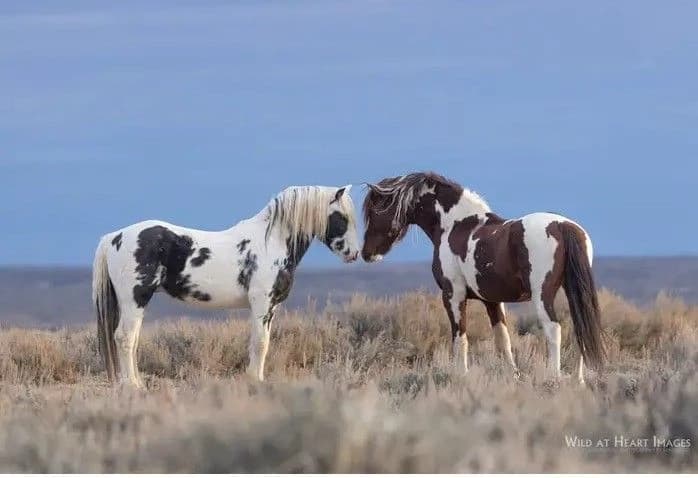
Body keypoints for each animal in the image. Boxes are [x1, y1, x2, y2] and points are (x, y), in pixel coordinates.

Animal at [93, 185, 360, 387]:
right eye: (341, 217)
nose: (354, 254)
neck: (270, 242)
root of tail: (113, 238)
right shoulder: (261, 303)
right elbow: (260, 343)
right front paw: (255, 381)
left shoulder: (271, 307)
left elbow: (261, 342)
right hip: (135, 298)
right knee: (124, 337)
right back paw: (132, 386)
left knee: (132, 338)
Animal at [361, 172, 603, 383]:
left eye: (375, 211)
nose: (366, 254)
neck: (457, 225)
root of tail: (563, 226)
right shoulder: (492, 301)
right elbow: (503, 340)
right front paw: (513, 377)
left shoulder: (453, 295)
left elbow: (460, 338)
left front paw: (461, 375)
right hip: (572, 292)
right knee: (580, 329)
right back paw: (578, 381)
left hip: (543, 295)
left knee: (554, 330)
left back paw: (553, 378)